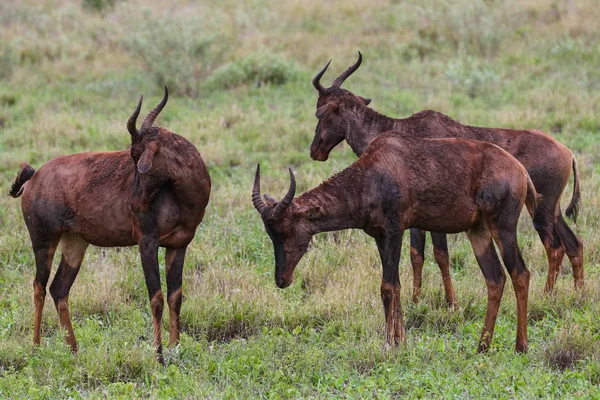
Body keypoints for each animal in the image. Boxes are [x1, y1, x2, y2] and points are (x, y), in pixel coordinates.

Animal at [8, 86, 211, 362]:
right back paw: (36, 348)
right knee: (38, 286)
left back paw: (74, 350)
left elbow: (175, 296)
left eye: (137, 155)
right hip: (43, 240)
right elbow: (156, 297)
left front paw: (175, 348)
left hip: (75, 244)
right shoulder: (147, 242)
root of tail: (34, 177)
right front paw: (159, 357)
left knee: (59, 288)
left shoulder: (179, 245)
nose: (134, 204)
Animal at [251, 132, 552, 354]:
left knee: (520, 273)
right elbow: (394, 286)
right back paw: (482, 347)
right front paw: (400, 340)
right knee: (495, 278)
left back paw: (520, 347)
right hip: (477, 231)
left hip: (503, 227)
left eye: (287, 230)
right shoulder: (380, 237)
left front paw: (389, 344)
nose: (282, 280)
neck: (373, 172)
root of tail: (520, 171)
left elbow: (388, 287)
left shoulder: (395, 231)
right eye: (270, 233)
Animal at [312, 52, 584, 304]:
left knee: (555, 247)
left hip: (540, 211)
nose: (315, 151)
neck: (402, 129)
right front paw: (416, 300)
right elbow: (416, 254)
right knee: (574, 244)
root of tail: (567, 153)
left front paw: (451, 302)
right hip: (553, 209)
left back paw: (547, 295)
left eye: (321, 111)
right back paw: (578, 292)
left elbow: (441, 254)